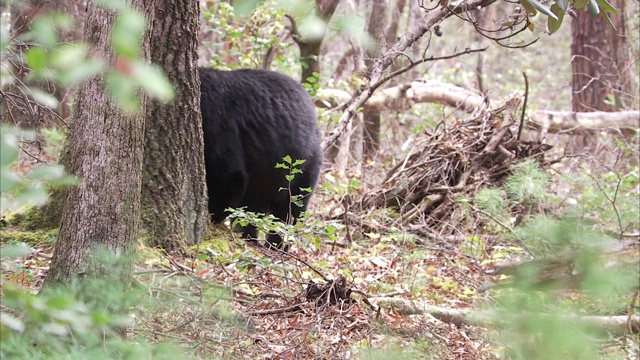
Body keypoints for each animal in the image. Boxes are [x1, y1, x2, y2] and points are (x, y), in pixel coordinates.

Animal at [199, 67, 322, 249]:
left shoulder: (213, 120)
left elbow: (228, 175)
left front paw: (212, 218)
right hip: (264, 177)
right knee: (255, 207)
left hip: (304, 166)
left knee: (291, 209)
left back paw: (276, 245)